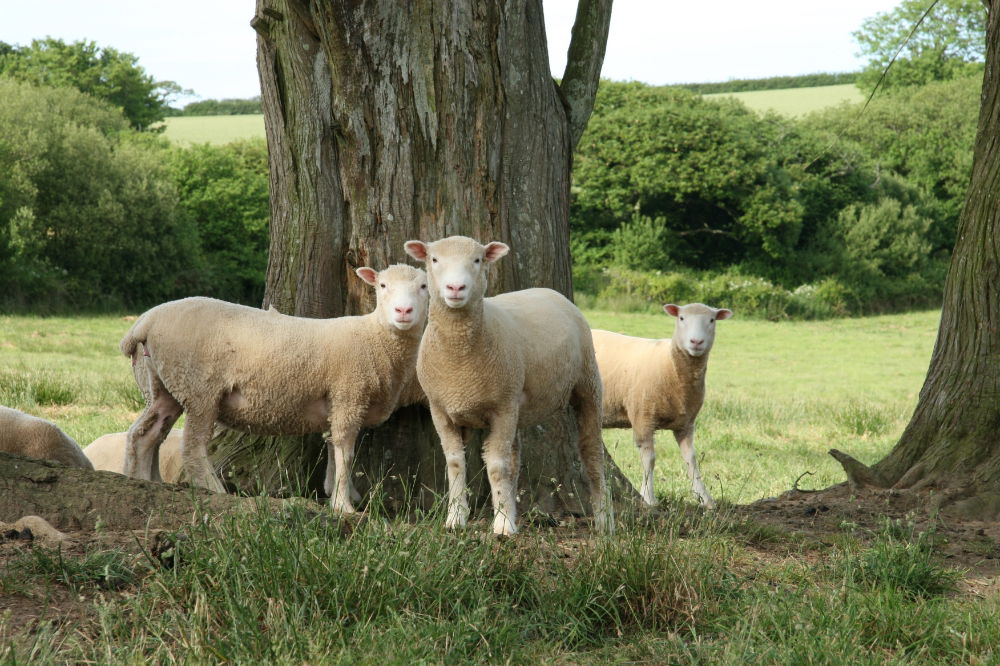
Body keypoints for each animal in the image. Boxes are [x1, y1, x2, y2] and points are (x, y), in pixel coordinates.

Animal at [119, 262, 428, 510]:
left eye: (424, 286)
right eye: (382, 286)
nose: (403, 311)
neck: (376, 338)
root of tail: (145, 321)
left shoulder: (340, 401)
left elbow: (332, 446)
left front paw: (337, 492)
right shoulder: (348, 394)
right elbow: (345, 451)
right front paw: (344, 505)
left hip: (161, 384)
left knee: (144, 435)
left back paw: (143, 483)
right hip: (198, 387)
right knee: (192, 447)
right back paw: (216, 491)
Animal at [404, 233, 608, 536]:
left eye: (477, 260)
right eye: (434, 259)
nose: (456, 287)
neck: (459, 358)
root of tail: (550, 291)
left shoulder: (501, 408)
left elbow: (497, 467)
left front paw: (502, 524)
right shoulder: (441, 410)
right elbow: (455, 463)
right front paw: (456, 517)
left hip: (587, 383)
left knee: (592, 454)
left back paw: (606, 522)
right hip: (517, 404)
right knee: (515, 460)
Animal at [588, 304, 732, 506]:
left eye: (711, 320)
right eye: (681, 318)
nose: (696, 341)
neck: (672, 366)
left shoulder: (686, 423)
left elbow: (691, 459)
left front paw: (705, 498)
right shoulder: (643, 417)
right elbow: (649, 459)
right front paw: (649, 497)